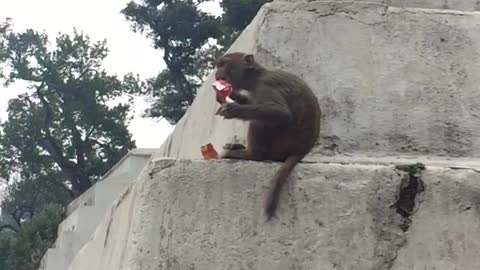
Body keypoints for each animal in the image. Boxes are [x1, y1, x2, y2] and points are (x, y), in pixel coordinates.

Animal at [213, 52, 318, 219]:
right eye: (219, 66)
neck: (256, 77)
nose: (217, 74)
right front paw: (229, 94)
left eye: (223, 65)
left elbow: (281, 113)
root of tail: (303, 150)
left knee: (261, 122)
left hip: (282, 144)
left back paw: (250, 154)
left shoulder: (265, 85)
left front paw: (232, 109)